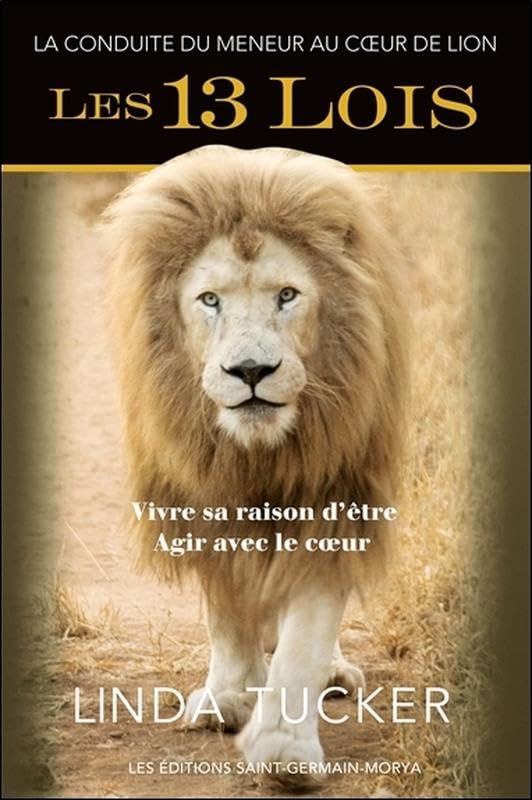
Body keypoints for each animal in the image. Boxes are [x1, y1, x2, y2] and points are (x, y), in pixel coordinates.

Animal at [102, 145, 408, 782]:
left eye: (286, 295)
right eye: (210, 299)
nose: (249, 371)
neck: (254, 453)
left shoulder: (335, 493)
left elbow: (306, 628)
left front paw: (285, 749)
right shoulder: (198, 494)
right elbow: (228, 611)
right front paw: (232, 697)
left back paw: (332, 673)